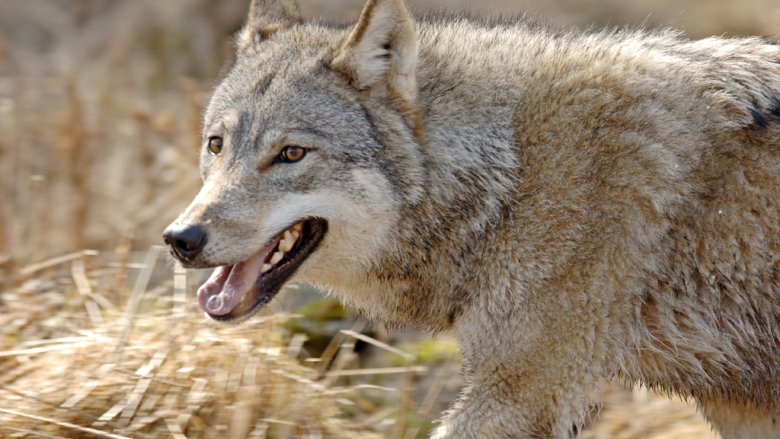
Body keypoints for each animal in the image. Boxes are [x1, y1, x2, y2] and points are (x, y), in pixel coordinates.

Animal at [165, 0, 780, 436]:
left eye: (291, 154)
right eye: (216, 145)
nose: (180, 238)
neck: (508, 174)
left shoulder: (523, 394)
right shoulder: (741, 407)